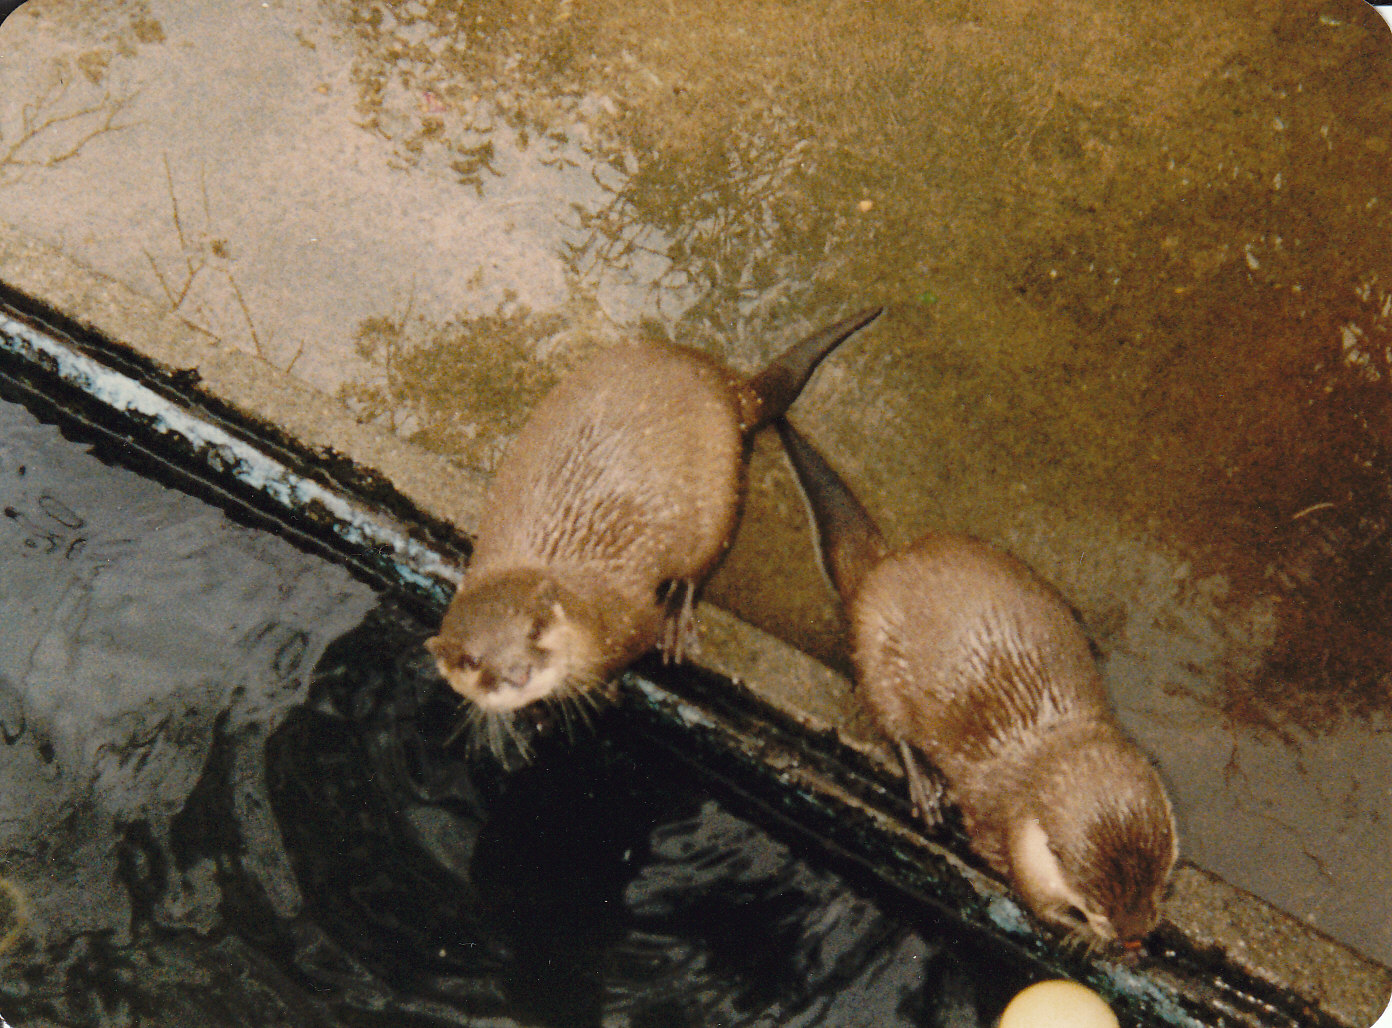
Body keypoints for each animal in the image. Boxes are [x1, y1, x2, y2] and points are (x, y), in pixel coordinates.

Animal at [427, 309, 882, 755]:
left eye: (535, 630)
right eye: (472, 662)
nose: (518, 673)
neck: (584, 606)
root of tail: (726, 385)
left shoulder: (631, 619)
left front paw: (601, 689)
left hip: (719, 495)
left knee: (702, 561)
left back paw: (679, 613)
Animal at [776, 419, 1177, 951]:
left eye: (1157, 880)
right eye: (1095, 900)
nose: (1133, 936)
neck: (1053, 741)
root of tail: (883, 567)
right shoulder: (1010, 841)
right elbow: (1037, 904)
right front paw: (1083, 936)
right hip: (876, 659)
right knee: (891, 723)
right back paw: (925, 788)